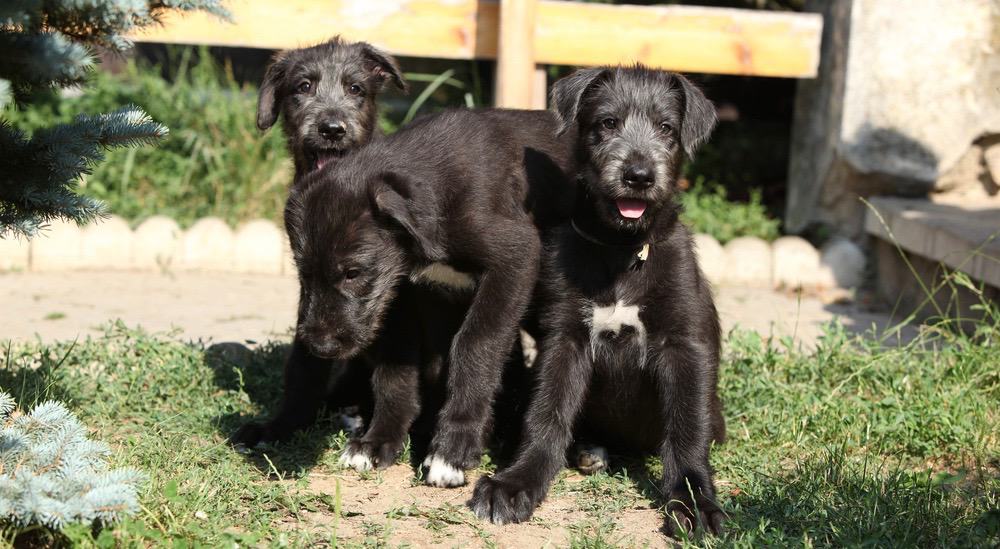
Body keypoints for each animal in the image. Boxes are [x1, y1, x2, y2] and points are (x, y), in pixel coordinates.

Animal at [286, 109, 576, 486]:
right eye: (303, 273)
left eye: (352, 273)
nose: (319, 346)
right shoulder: (410, 295)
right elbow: (399, 368)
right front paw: (380, 439)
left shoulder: (516, 258)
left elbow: (475, 343)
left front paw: (454, 447)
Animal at [468, 65, 728, 536]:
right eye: (607, 123)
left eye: (667, 128)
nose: (639, 176)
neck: (622, 250)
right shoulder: (565, 340)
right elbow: (547, 414)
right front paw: (517, 483)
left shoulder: (684, 345)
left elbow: (687, 426)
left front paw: (694, 501)